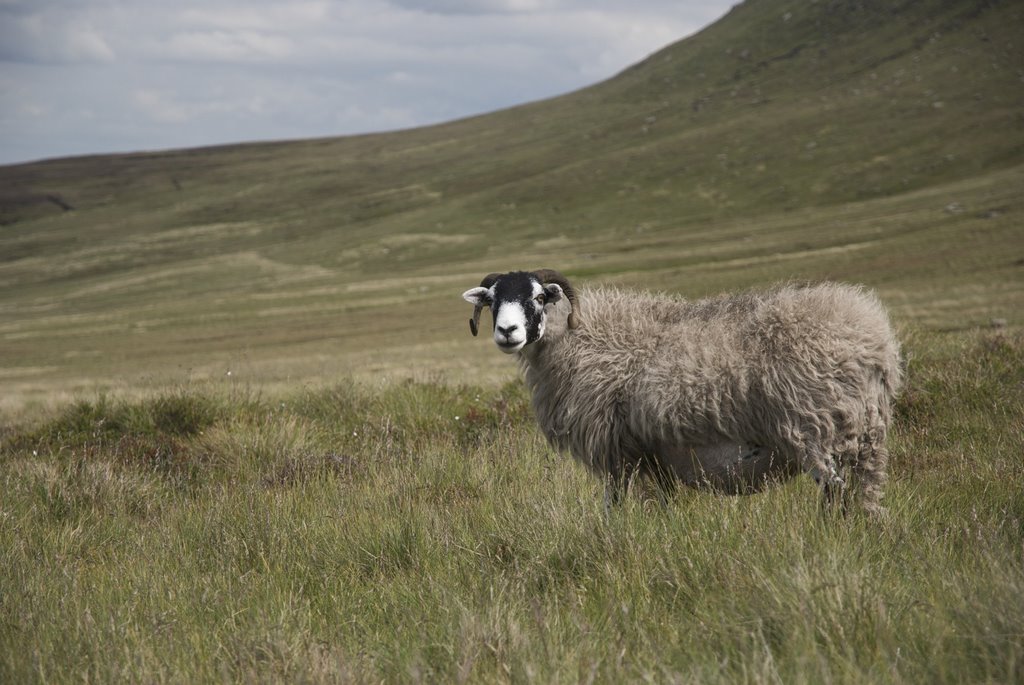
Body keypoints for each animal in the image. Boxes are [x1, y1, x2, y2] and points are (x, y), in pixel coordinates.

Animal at [464, 266, 905, 511]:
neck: (577, 337)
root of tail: (872, 337)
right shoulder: (654, 452)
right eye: (493, 300)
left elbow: (614, 505)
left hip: (813, 425)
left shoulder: (615, 447)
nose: (507, 331)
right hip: (866, 431)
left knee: (834, 491)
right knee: (866, 492)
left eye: (539, 297)